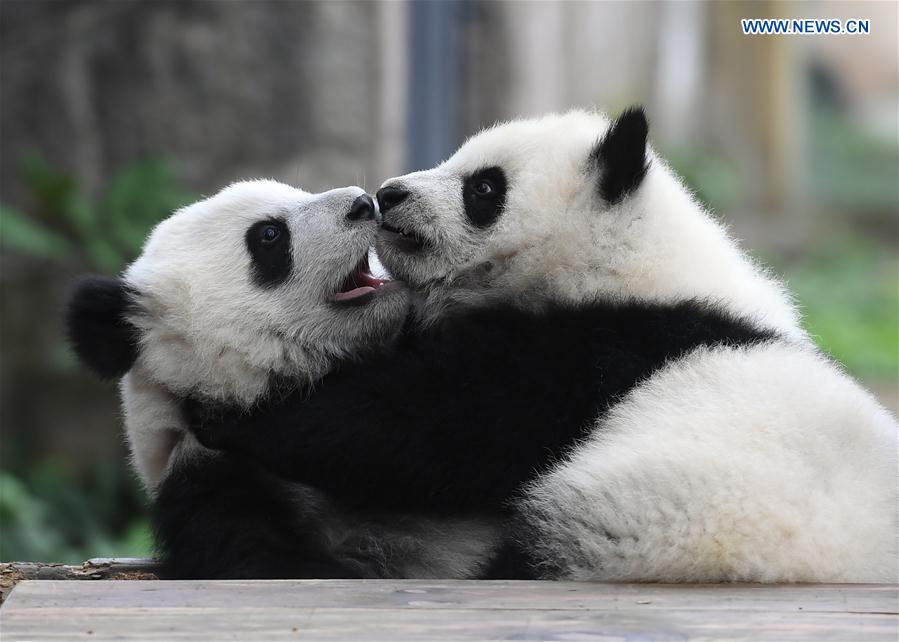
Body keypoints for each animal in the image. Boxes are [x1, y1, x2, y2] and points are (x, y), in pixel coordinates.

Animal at [190, 109, 898, 583]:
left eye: (484, 187)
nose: (389, 195)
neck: (631, 261)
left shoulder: (601, 345)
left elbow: (436, 425)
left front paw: (235, 418)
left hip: (652, 520)